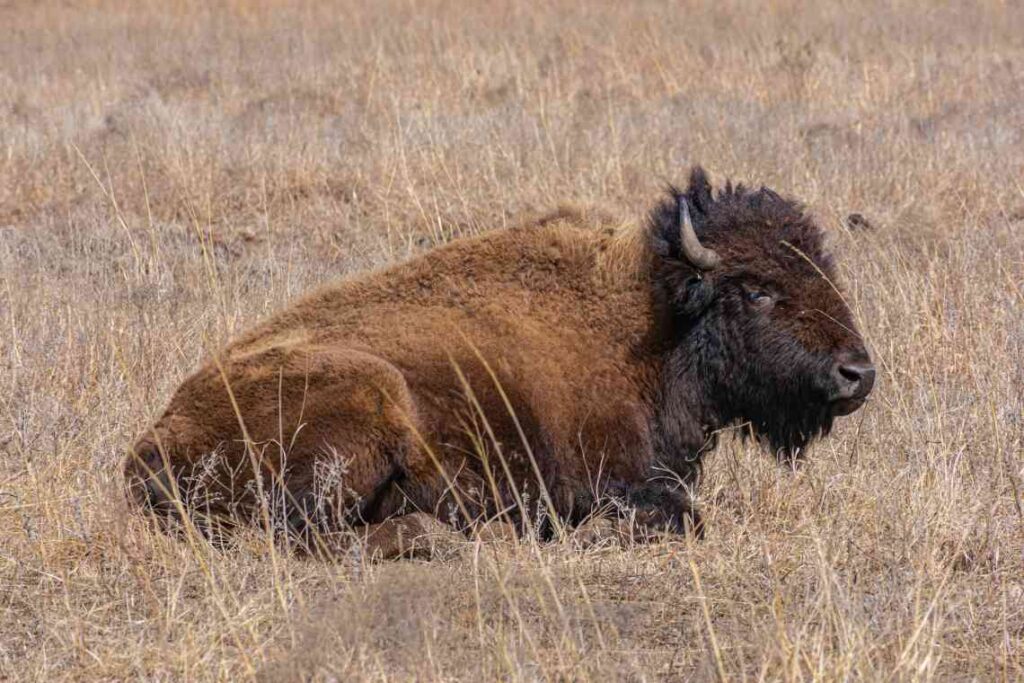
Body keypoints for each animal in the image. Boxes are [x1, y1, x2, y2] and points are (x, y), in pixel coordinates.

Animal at [121, 167, 872, 557]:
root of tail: (145, 450)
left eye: (822, 267)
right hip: (370, 393)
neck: (654, 318)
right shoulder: (616, 477)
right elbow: (678, 515)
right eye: (756, 289)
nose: (857, 374)